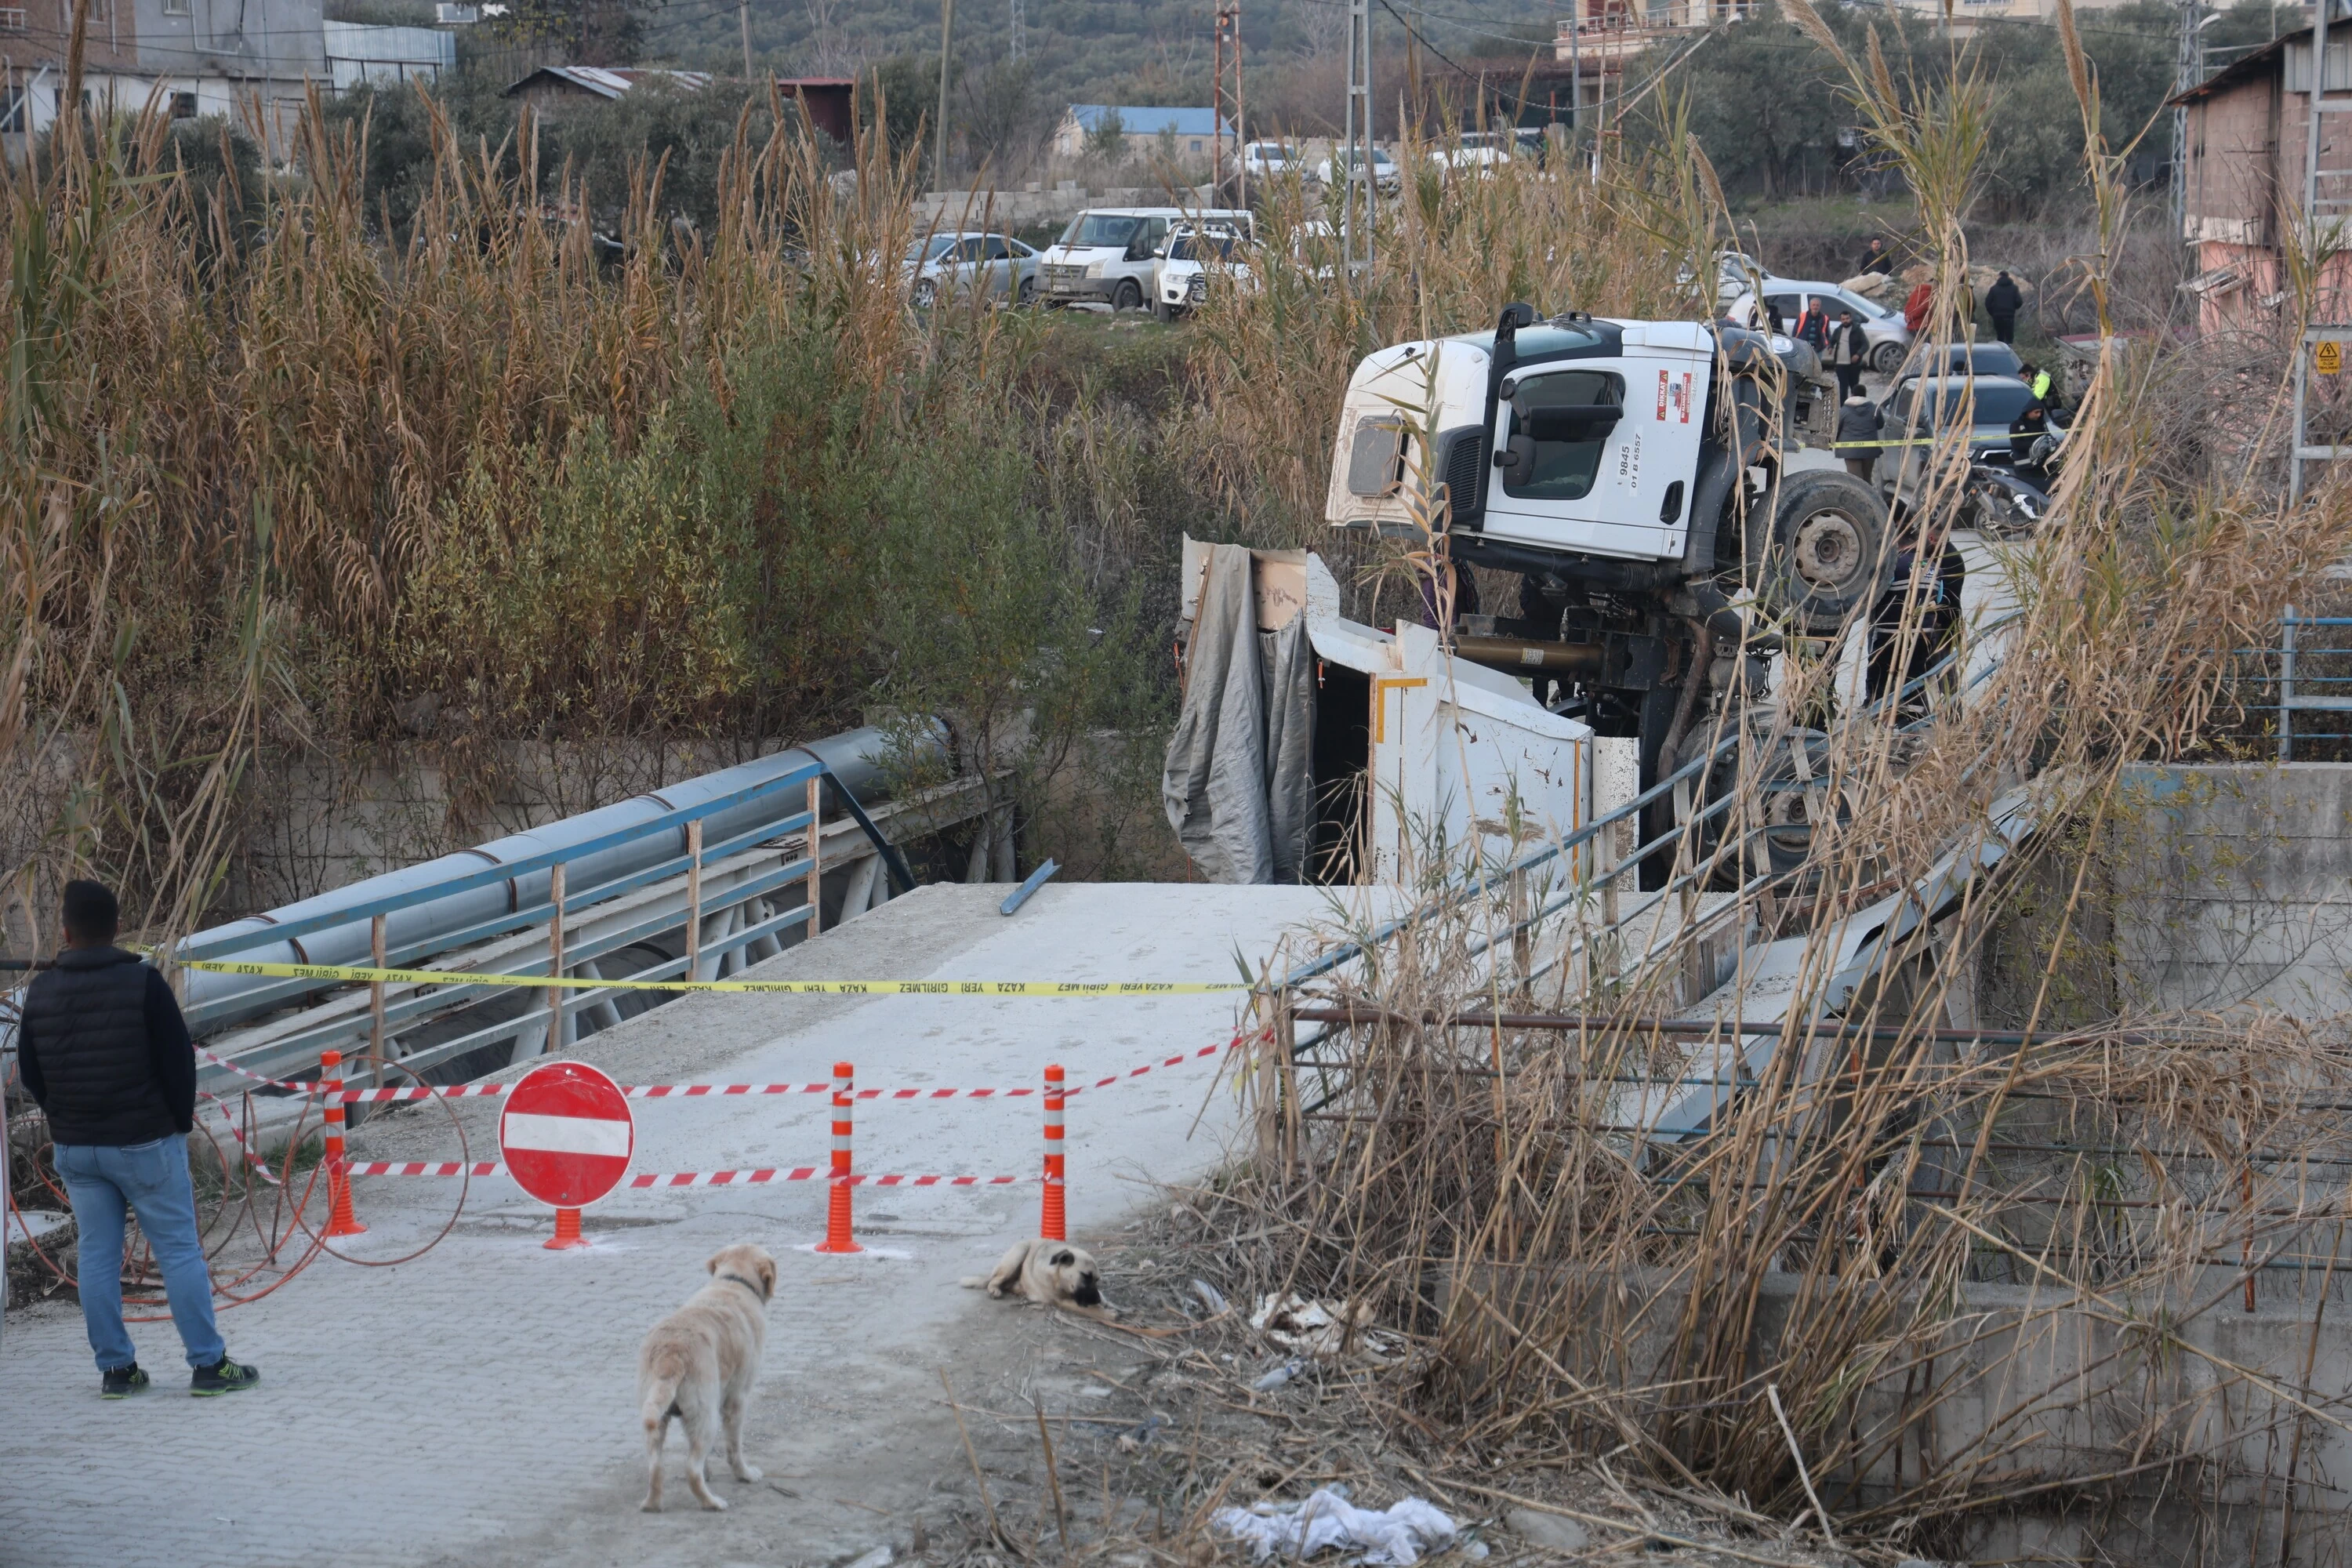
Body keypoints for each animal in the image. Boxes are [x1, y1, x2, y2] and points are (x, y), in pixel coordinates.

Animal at [640, 1241, 776, 1514]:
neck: (733, 1281)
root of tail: (671, 1353)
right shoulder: (737, 1399)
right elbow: (734, 1447)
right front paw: (744, 1474)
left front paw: (710, 1472)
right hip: (707, 1415)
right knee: (690, 1469)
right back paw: (711, 1503)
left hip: (657, 1416)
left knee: (656, 1466)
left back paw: (652, 1504)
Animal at [960, 1241, 1105, 1316]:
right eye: (1086, 1276)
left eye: (1097, 1280)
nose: (1097, 1300)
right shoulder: (1060, 1300)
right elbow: (1096, 1311)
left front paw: (1105, 1302)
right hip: (1018, 1254)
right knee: (994, 1280)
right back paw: (994, 1290)